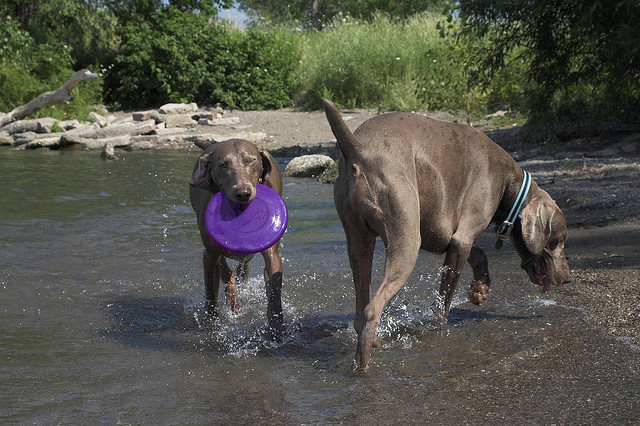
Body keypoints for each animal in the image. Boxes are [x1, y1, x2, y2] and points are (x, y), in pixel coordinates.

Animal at [189, 139, 284, 339]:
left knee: (243, 266)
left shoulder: (271, 252)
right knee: (227, 272)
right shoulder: (210, 254)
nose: (242, 193)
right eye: (223, 165)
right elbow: (211, 292)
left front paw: (276, 329)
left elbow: (274, 291)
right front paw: (212, 325)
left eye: (251, 160)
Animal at [323, 99, 571, 372]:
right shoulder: (462, 236)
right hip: (406, 239)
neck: (509, 183)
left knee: (361, 308)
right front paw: (440, 325)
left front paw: (480, 289)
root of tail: (360, 149)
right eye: (558, 241)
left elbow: (478, 253)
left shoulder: (443, 237)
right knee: (371, 311)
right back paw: (363, 366)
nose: (568, 278)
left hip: (358, 240)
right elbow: (443, 302)